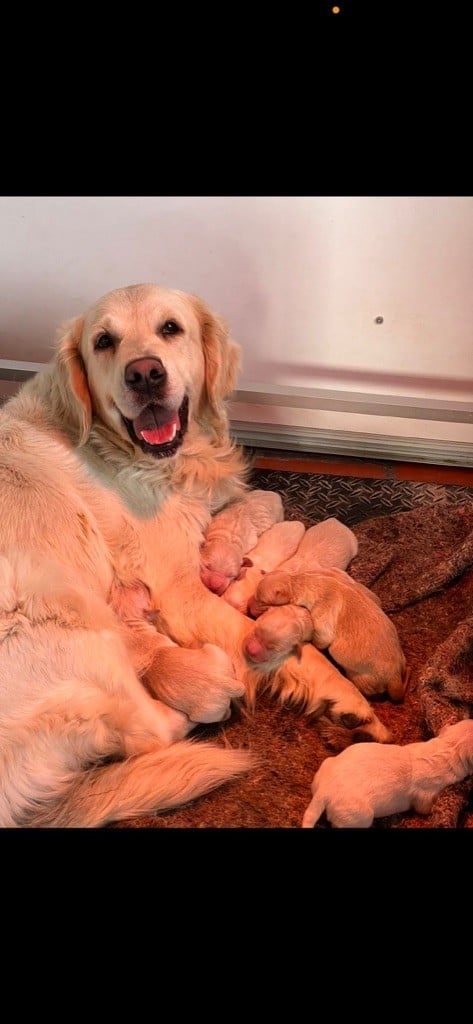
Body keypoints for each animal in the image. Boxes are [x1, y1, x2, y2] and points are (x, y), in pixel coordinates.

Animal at [0, 284, 266, 827]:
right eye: (104, 341)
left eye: (171, 328)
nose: (144, 374)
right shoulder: (179, 590)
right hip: (62, 610)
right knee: (149, 732)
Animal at [249, 569, 407, 704]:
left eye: (262, 601)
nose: (248, 609)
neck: (299, 579)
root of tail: (395, 677)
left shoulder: (323, 616)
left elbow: (321, 639)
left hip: (362, 677)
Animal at [301, 716, 473, 827]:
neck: (449, 748)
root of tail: (324, 792)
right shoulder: (426, 794)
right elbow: (425, 807)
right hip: (356, 816)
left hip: (326, 765)